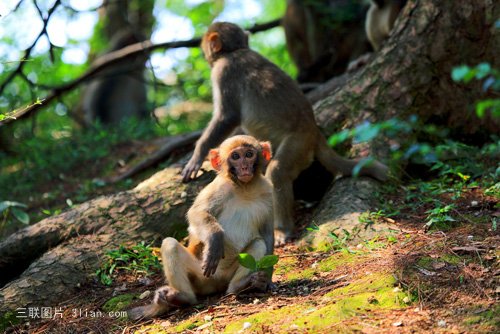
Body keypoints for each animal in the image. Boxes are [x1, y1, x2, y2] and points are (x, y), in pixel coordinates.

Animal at [126, 134, 274, 320]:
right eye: (235, 156)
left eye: (249, 154)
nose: (244, 167)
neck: (245, 188)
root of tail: (216, 284)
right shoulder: (219, 187)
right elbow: (196, 213)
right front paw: (215, 238)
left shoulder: (267, 191)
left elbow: (267, 234)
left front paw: (267, 280)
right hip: (200, 278)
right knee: (170, 244)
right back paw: (182, 297)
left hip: (226, 276)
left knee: (258, 243)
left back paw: (240, 285)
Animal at [182, 20, 388, 245]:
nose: (207, 55)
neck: (236, 50)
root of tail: (314, 130)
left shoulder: (224, 71)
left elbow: (227, 117)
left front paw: (196, 157)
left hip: (299, 144)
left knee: (277, 171)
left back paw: (282, 229)